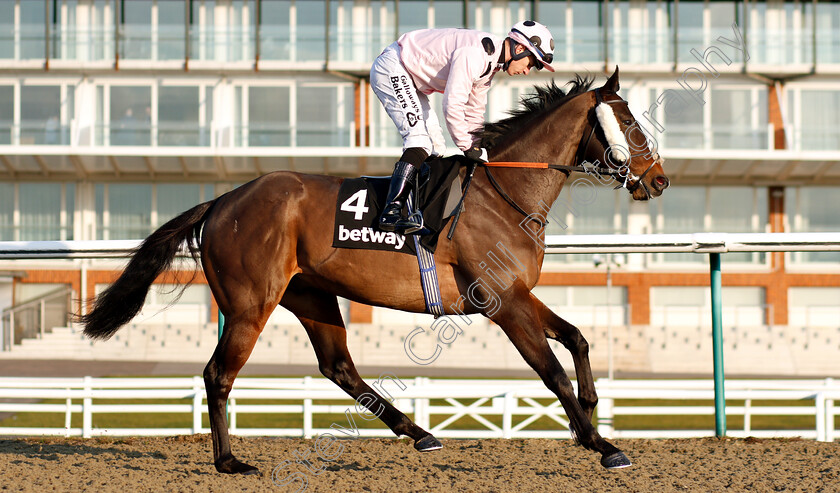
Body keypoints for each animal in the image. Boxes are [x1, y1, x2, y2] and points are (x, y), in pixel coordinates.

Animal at [79, 67, 668, 474]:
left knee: (338, 367)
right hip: (250, 303)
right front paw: (601, 444)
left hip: (311, 296)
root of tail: (223, 201)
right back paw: (228, 461)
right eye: (629, 121)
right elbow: (550, 370)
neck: (504, 191)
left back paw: (418, 431)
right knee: (218, 373)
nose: (659, 179)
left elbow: (578, 339)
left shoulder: (520, 292)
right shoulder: (502, 300)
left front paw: (591, 414)